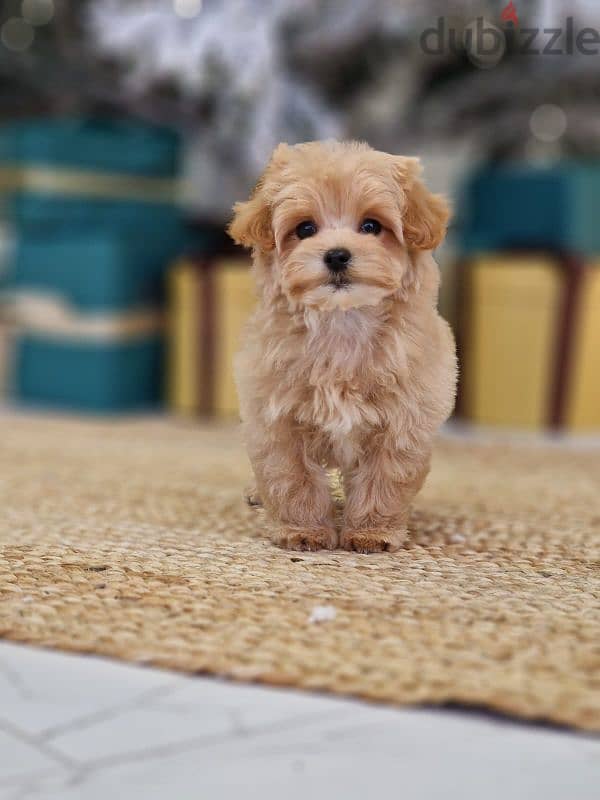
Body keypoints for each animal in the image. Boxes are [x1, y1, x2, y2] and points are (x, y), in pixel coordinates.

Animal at [229, 141, 454, 552]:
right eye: (305, 228)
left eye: (371, 226)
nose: (336, 254)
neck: (342, 321)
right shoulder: (277, 419)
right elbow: (291, 477)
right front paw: (303, 531)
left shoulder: (403, 421)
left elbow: (386, 479)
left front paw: (371, 533)